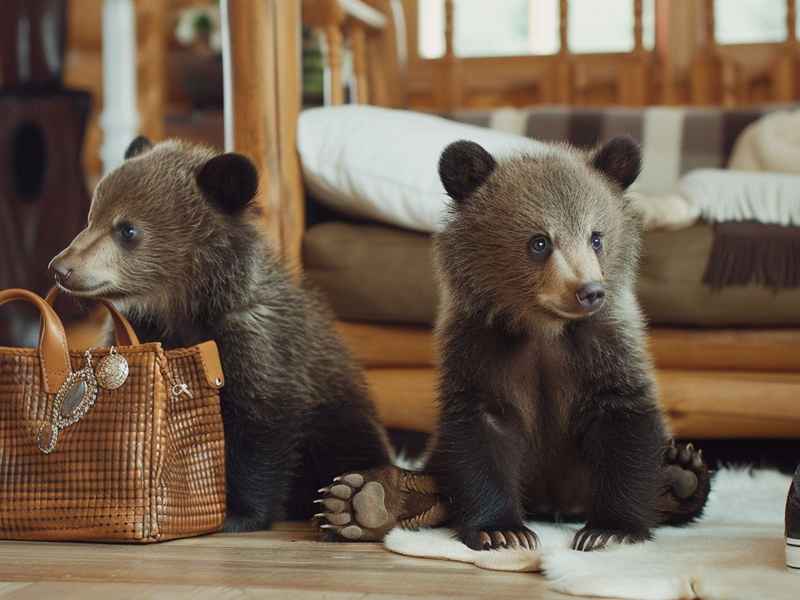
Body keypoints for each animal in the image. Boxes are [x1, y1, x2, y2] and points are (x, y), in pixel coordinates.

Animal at [48, 137, 393, 533]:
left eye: (127, 229)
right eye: (93, 216)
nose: (61, 267)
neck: (183, 309)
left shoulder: (255, 345)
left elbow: (259, 427)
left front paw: (240, 513)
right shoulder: (141, 330)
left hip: (339, 413)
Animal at [315, 136, 711, 551]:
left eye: (596, 237)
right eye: (540, 242)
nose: (589, 291)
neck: (543, 327)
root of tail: (554, 504)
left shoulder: (605, 348)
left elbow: (625, 422)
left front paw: (609, 530)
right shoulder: (481, 349)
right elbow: (480, 434)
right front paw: (502, 530)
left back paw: (680, 475)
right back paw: (362, 502)